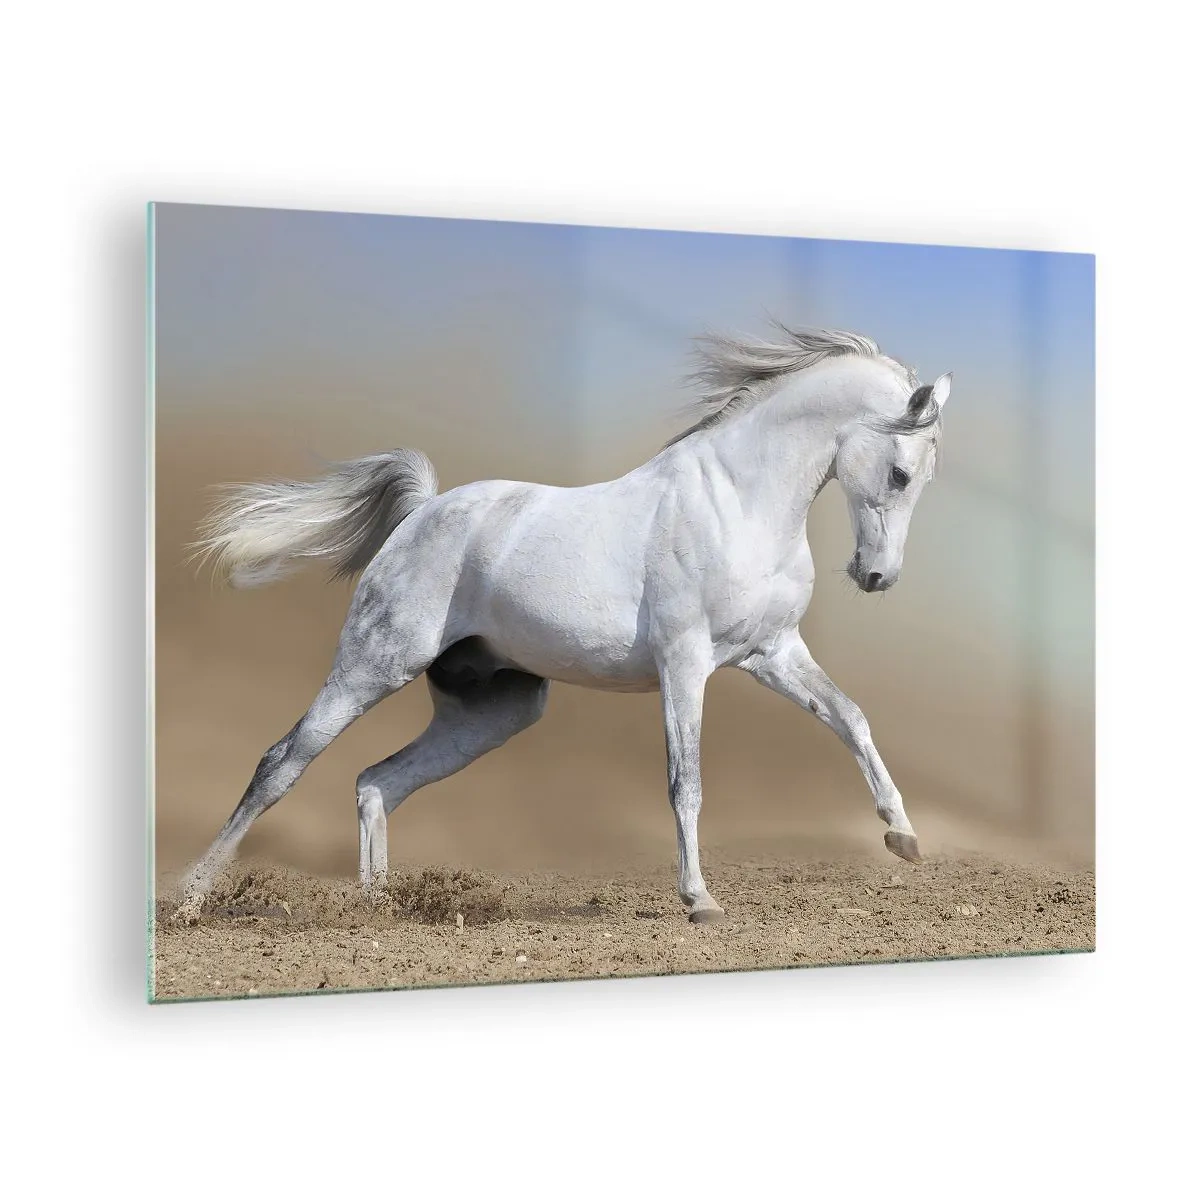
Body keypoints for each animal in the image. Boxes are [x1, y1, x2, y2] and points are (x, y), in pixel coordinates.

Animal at [172, 323, 951, 925]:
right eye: (902, 473)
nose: (877, 576)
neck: (738, 502)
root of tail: (422, 511)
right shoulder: (685, 662)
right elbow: (687, 780)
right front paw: (699, 900)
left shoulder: (772, 653)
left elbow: (851, 718)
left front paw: (904, 838)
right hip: (372, 666)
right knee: (281, 764)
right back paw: (189, 901)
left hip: (494, 711)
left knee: (377, 781)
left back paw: (379, 908)